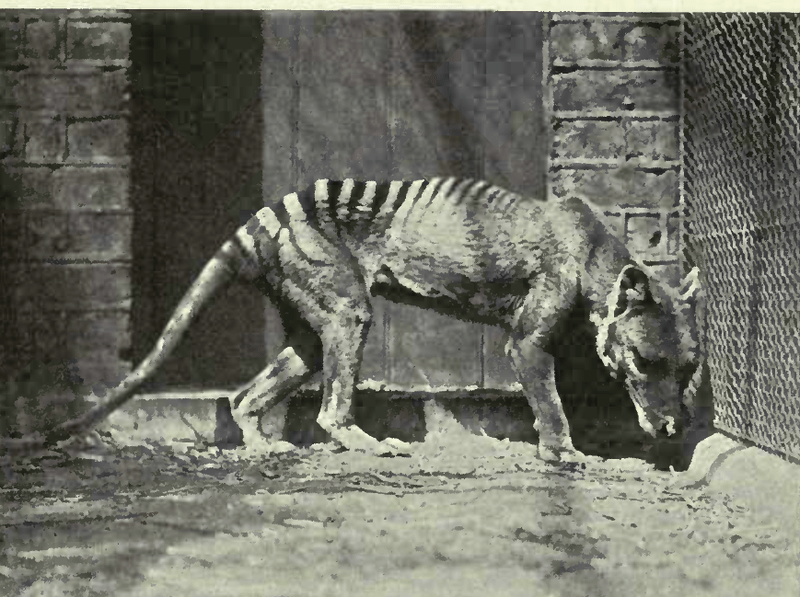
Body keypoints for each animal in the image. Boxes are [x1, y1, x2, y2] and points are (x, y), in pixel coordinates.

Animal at [50, 176, 704, 462]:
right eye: (645, 360)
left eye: (688, 368)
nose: (673, 426)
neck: (592, 254)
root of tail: (267, 216)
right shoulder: (527, 341)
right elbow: (550, 400)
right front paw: (563, 452)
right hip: (347, 312)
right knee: (329, 408)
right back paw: (366, 442)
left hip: (310, 328)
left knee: (247, 395)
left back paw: (262, 445)